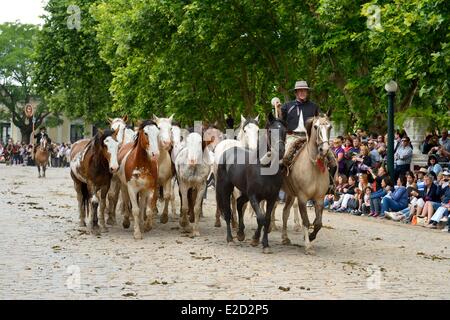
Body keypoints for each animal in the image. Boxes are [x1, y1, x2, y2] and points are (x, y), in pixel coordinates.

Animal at [215, 112, 286, 252]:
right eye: (270, 131)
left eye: (284, 131)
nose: (280, 151)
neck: (265, 167)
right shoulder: (254, 196)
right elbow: (260, 218)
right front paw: (255, 239)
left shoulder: (271, 197)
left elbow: (266, 219)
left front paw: (265, 244)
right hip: (226, 188)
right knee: (228, 211)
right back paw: (230, 239)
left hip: (244, 193)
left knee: (238, 203)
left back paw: (240, 234)